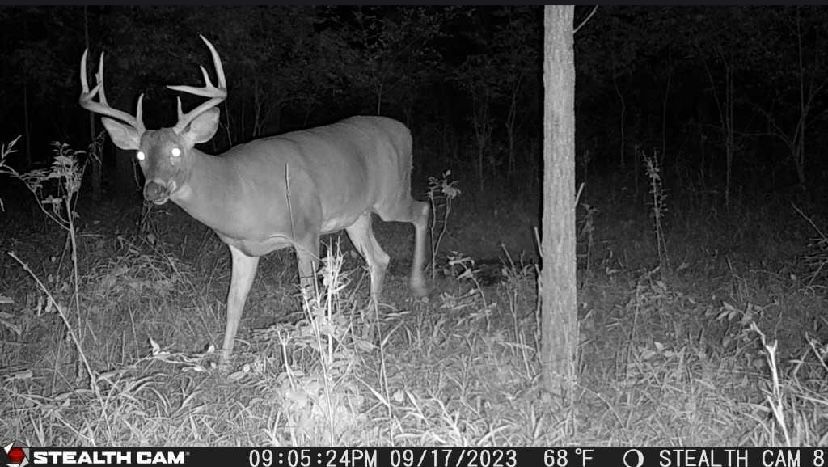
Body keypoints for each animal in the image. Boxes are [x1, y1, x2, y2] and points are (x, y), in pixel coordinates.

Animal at [79, 36, 430, 364]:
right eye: (140, 155)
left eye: (176, 151)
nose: (153, 190)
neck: (238, 193)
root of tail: (404, 130)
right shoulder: (241, 249)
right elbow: (233, 302)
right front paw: (223, 363)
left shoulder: (306, 229)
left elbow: (309, 295)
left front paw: (319, 347)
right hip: (356, 216)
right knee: (379, 258)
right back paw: (370, 330)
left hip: (390, 195)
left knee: (422, 210)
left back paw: (418, 286)